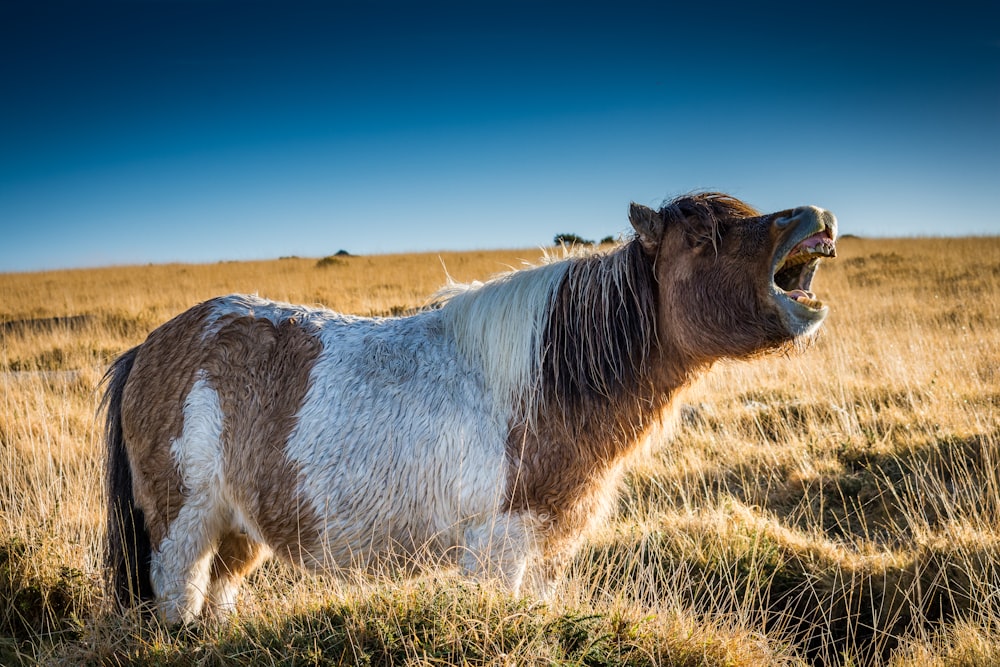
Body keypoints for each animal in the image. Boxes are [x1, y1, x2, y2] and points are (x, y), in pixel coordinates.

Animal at [101, 193, 836, 628]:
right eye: (706, 234)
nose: (816, 219)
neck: (548, 379)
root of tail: (150, 347)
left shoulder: (545, 552)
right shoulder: (498, 548)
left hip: (238, 531)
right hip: (182, 528)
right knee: (179, 596)